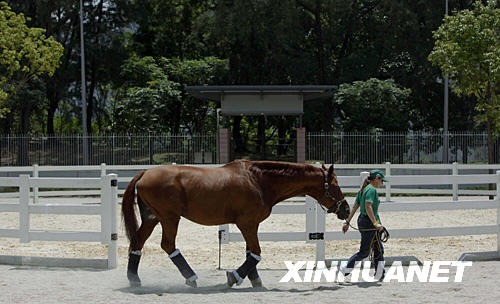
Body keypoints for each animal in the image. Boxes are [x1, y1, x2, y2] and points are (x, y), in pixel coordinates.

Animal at [122, 160, 348, 288]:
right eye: (336, 186)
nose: (346, 209)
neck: (258, 180)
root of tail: (145, 173)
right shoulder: (247, 223)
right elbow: (256, 252)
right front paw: (235, 276)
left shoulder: (251, 225)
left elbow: (251, 252)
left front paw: (254, 279)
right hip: (169, 218)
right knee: (168, 245)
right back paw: (191, 277)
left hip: (152, 219)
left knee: (137, 243)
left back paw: (134, 279)